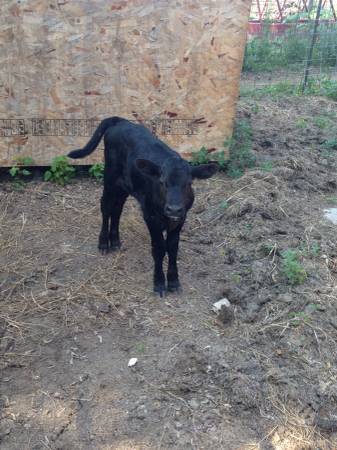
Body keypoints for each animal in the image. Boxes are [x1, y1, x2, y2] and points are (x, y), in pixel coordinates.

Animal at [67, 118, 218, 298]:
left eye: (188, 183)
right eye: (162, 182)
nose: (174, 209)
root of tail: (120, 121)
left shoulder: (181, 219)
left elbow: (173, 248)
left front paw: (174, 282)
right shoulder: (150, 216)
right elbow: (159, 248)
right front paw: (159, 284)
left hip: (124, 186)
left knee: (117, 209)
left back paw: (115, 241)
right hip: (109, 177)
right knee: (105, 206)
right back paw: (103, 243)